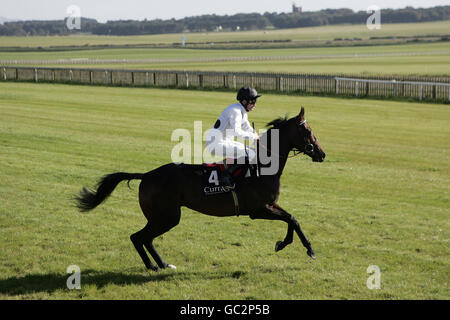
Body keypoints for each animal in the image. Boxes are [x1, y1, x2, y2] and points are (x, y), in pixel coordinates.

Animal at [75, 107, 326, 270]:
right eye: (307, 131)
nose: (322, 154)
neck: (263, 165)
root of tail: (146, 175)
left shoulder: (271, 204)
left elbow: (293, 219)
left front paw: (292, 245)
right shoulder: (258, 210)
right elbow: (291, 219)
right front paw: (303, 249)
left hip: (162, 217)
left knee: (145, 239)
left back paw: (162, 264)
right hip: (167, 216)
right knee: (138, 237)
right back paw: (152, 266)